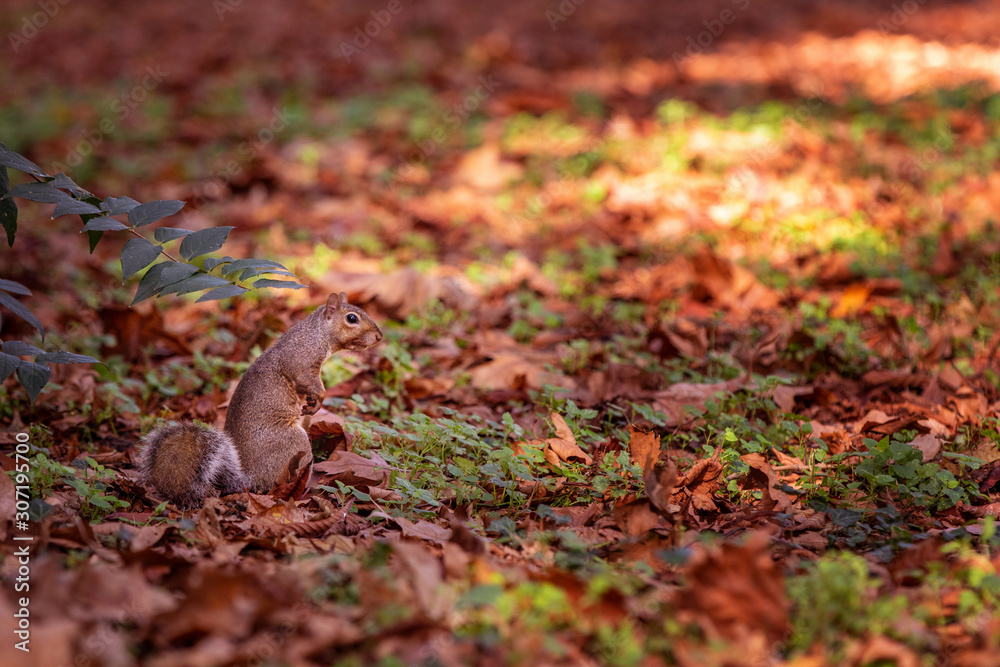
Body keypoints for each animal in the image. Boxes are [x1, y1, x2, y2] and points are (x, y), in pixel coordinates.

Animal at [134, 294, 382, 512]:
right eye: (352, 318)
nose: (379, 337)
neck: (317, 332)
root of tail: (248, 478)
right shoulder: (301, 360)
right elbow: (305, 379)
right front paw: (319, 398)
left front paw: (312, 403)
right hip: (294, 445)